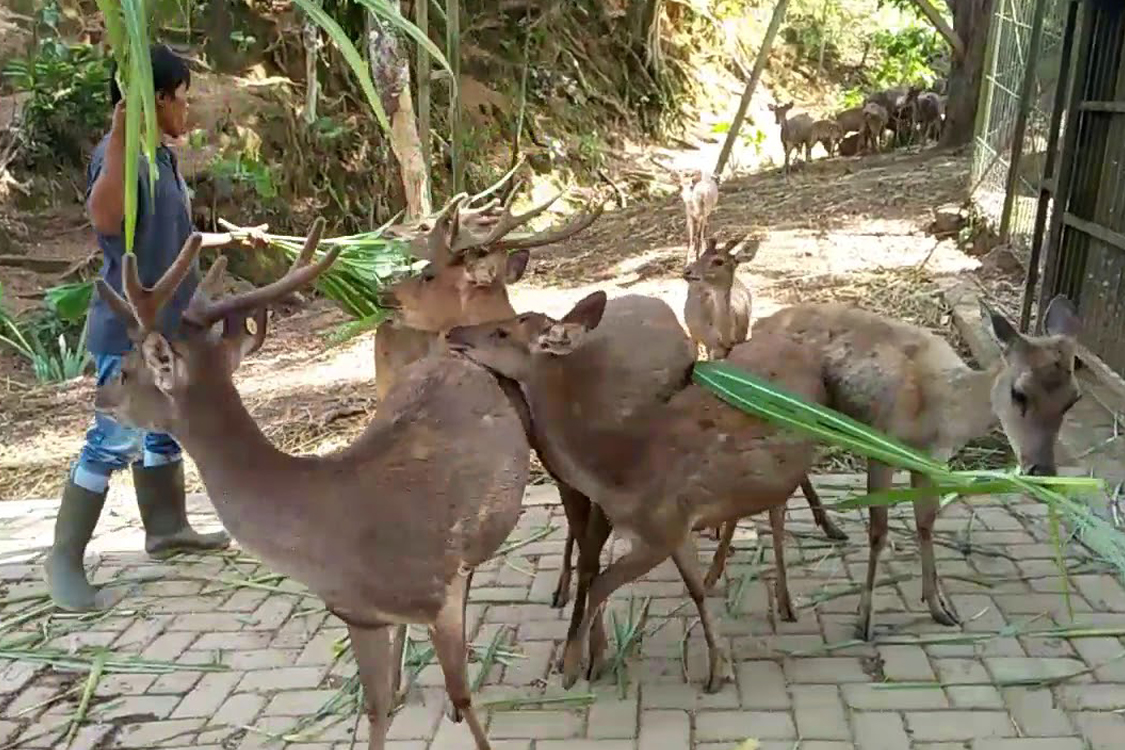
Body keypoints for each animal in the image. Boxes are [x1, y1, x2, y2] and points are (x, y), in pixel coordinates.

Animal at [88, 220, 531, 746]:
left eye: (127, 369)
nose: (98, 395)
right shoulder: (355, 612)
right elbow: (376, 709)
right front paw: (393, 692)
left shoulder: (439, 590)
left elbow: (461, 694)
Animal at [445, 292, 828, 692]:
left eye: (502, 331)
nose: (453, 332)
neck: (617, 473)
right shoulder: (674, 530)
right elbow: (693, 589)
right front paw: (717, 667)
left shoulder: (660, 529)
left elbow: (600, 583)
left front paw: (572, 666)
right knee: (770, 507)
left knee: (779, 511)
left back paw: (788, 598)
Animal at [751, 299, 1084, 638]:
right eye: (1019, 393)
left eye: (1074, 398)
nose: (1041, 469)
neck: (942, 413)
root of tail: (760, 323)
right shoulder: (882, 447)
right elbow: (878, 531)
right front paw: (864, 620)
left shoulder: (930, 462)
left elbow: (925, 523)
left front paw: (939, 608)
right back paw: (788, 598)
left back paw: (830, 527)